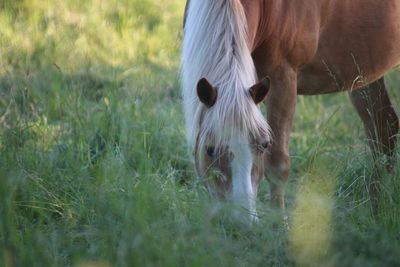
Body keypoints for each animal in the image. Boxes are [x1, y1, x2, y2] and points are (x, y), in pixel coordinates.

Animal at [181, 0, 400, 226]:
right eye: (209, 150)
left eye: (263, 145)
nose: (241, 223)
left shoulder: (282, 78)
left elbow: (278, 163)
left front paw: (278, 225)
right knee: (383, 129)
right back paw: (375, 210)